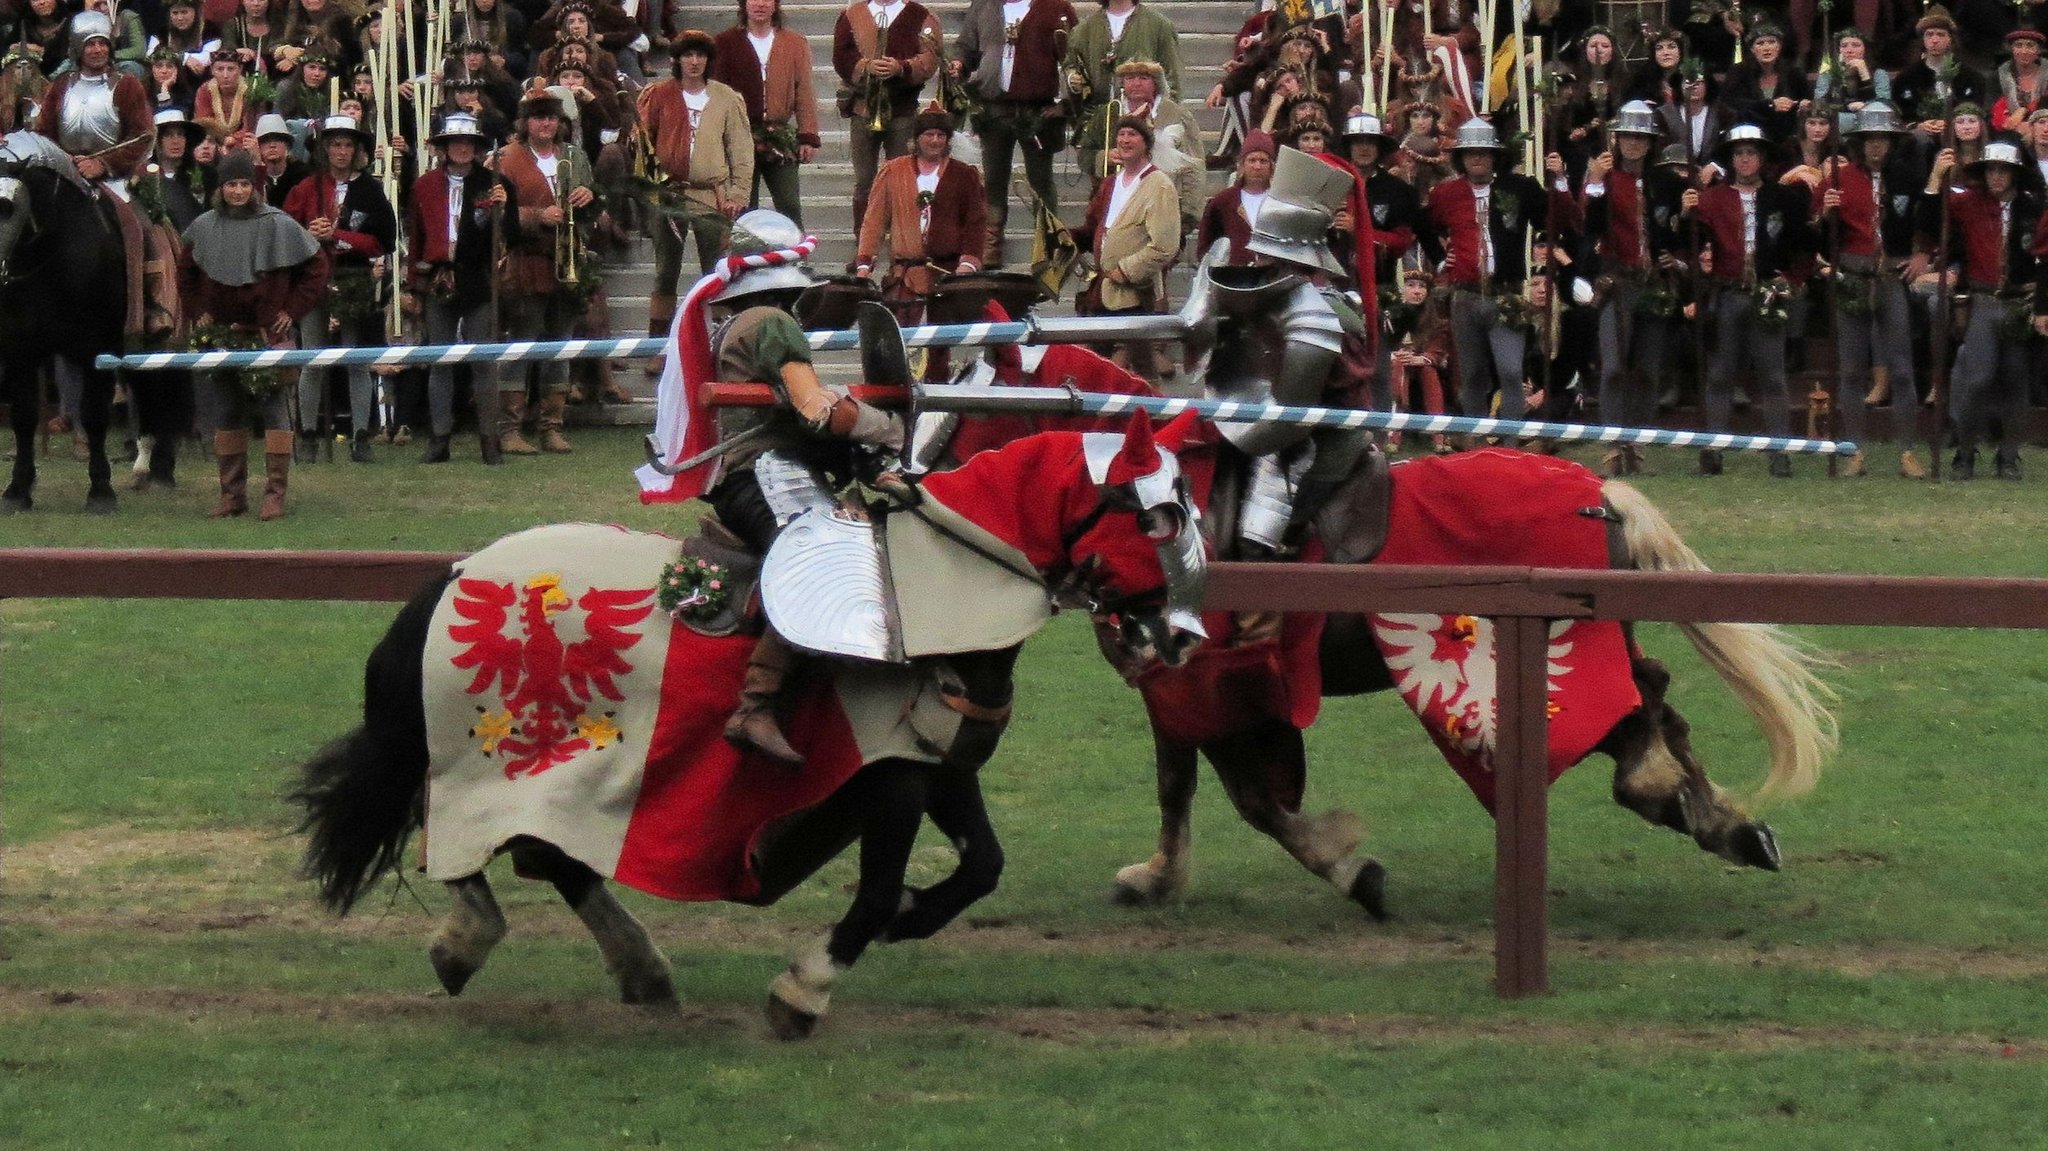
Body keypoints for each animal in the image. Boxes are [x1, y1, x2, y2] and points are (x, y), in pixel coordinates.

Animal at [0, 130, 132, 509]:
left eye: (6, 208)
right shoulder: (20, 349)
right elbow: (25, 414)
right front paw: (17, 489)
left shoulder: (99, 348)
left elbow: (94, 413)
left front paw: (101, 490)